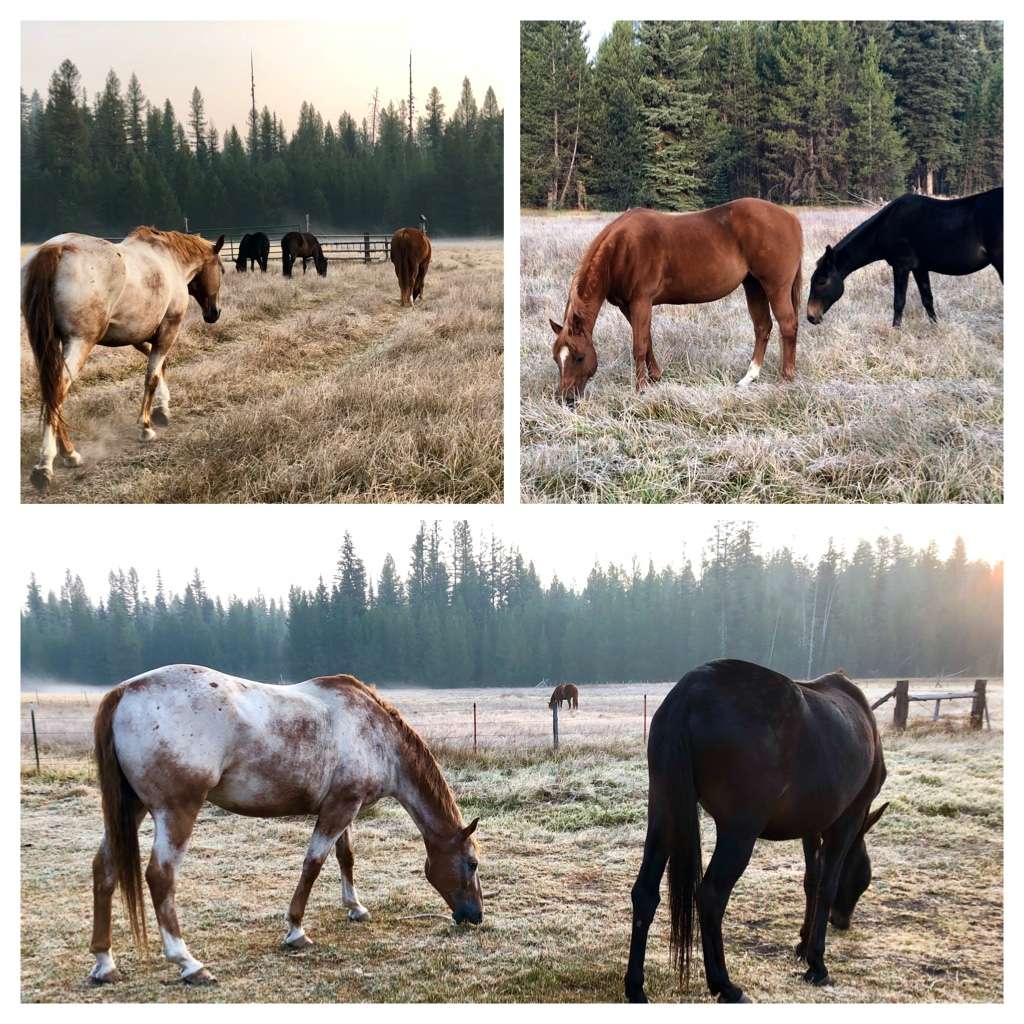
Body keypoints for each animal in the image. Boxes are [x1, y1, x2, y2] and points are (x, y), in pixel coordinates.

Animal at [21, 227, 225, 492]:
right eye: (221, 269)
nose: (214, 313)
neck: (169, 259)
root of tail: (55, 248)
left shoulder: (139, 336)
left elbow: (160, 367)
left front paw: (162, 410)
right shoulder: (168, 330)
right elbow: (152, 376)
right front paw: (146, 427)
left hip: (46, 347)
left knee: (52, 392)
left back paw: (69, 454)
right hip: (79, 343)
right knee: (57, 390)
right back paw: (45, 465)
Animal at [88, 664, 483, 986]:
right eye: (472, 863)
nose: (475, 916)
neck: (376, 733)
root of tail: (126, 691)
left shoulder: (343, 805)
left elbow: (346, 857)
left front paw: (355, 908)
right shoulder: (340, 808)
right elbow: (313, 865)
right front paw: (295, 930)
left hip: (131, 809)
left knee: (104, 869)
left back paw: (104, 963)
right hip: (176, 812)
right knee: (160, 877)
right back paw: (188, 963)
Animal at [549, 199, 803, 406]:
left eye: (579, 357)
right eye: (556, 358)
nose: (566, 400)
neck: (621, 250)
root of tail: (791, 219)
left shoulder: (641, 301)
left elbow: (639, 346)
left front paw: (640, 390)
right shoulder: (628, 306)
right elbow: (647, 340)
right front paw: (655, 378)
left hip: (775, 287)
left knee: (787, 325)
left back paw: (786, 379)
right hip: (754, 285)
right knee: (762, 327)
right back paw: (748, 378)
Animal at [624, 659, 887, 1004]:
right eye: (863, 878)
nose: (843, 921)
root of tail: (688, 693)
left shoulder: (811, 824)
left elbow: (811, 880)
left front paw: (803, 944)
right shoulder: (846, 820)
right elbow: (827, 885)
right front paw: (817, 962)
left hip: (666, 812)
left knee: (645, 893)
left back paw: (635, 987)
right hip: (739, 832)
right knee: (710, 896)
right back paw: (724, 985)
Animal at [807, 187, 1003, 327]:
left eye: (822, 281)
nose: (811, 316)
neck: (884, 227)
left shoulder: (901, 265)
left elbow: (899, 301)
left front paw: (895, 331)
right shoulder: (919, 268)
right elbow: (927, 300)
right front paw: (936, 329)